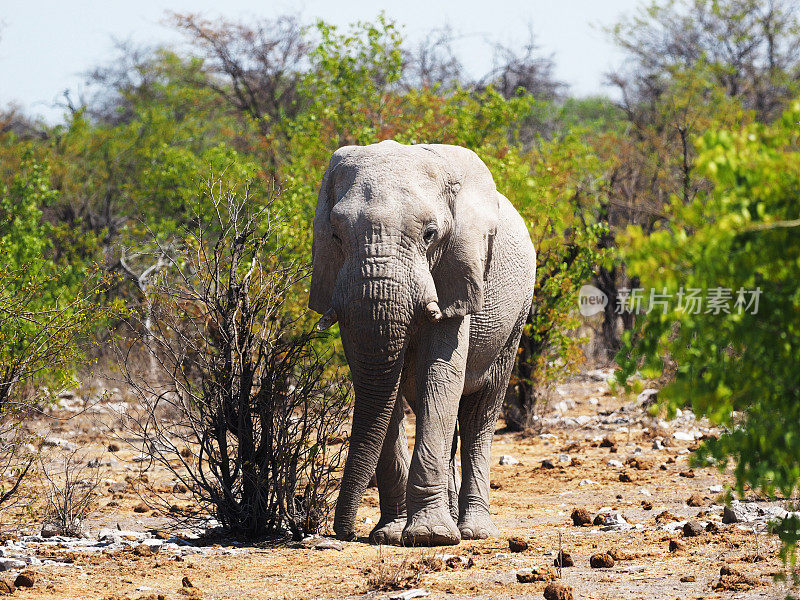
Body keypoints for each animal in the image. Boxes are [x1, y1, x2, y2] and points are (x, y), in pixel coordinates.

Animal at [310, 139, 536, 544]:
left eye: (430, 234)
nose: (342, 532)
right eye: (335, 236)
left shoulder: (457, 272)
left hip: (517, 318)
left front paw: (429, 537)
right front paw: (389, 535)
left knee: (480, 411)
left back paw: (473, 532)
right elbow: (375, 383)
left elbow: (441, 372)